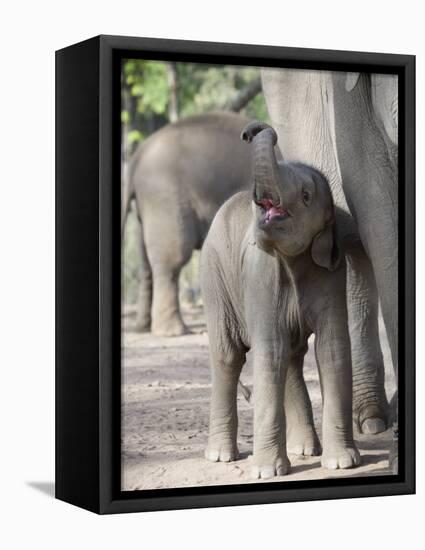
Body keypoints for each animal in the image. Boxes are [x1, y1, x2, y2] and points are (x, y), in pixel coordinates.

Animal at [120, 111, 252, 336]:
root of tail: (137, 157)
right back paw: (173, 331)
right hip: (165, 198)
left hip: (145, 209)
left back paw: (143, 327)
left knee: (145, 261)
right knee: (172, 260)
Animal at [200, 123, 360, 480]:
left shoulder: (332, 273)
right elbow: (269, 348)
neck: (293, 260)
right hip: (215, 276)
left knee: (291, 355)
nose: (251, 130)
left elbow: (332, 347)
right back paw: (220, 456)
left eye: (306, 196)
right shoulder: (260, 274)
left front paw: (343, 463)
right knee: (229, 355)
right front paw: (266, 472)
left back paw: (306, 450)